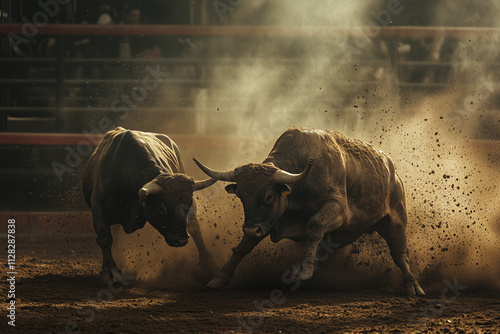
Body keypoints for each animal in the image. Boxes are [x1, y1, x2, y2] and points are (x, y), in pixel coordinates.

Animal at [84, 126, 217, 284]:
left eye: (188, 204)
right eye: (162, 208)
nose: (182, 240)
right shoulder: (98, 205)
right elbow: (105, 237)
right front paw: (109, 272)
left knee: (194, 227)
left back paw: (207, 262)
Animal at [195, 126, 426, 296]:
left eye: (268, 196)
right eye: (241, 195)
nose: (251, 228)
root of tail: (392, 170)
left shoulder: (338, 208)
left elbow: (314, 226)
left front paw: (304, 269)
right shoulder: (265, 221)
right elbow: (244, 245)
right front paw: (220, 277)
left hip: (396, 221)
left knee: (400, 254)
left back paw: (413, 286)